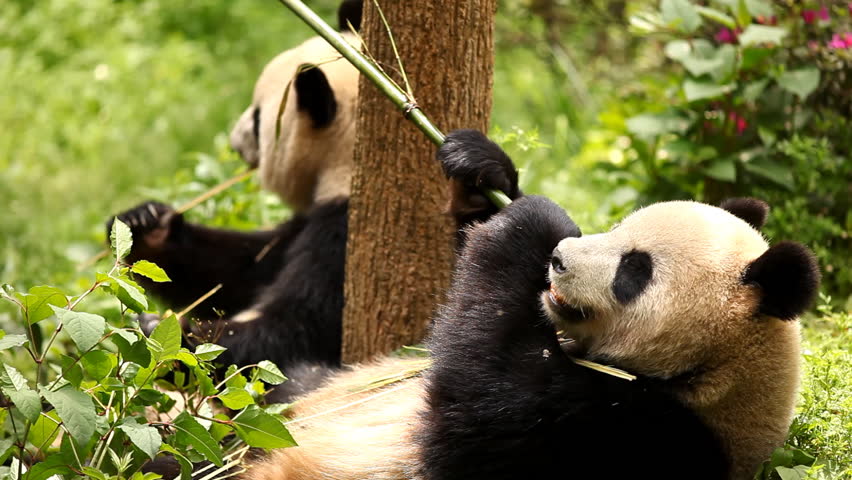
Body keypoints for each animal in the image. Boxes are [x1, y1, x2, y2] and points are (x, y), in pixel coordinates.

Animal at [240, 130, 820, 480]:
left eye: (634, 271)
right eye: (615, 227)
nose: (559, 258)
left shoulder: (631, 433)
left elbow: (478, 403)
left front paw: (531, 223)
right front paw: (485, 173)